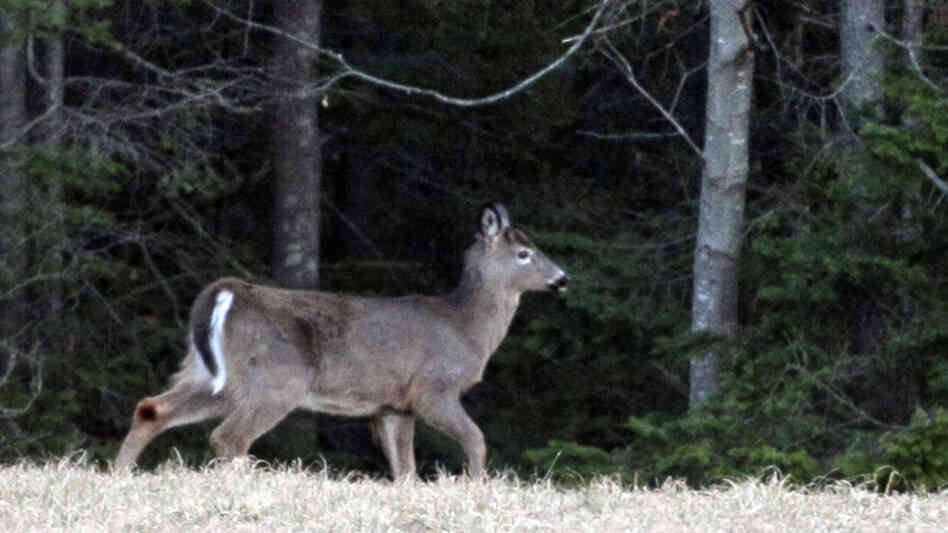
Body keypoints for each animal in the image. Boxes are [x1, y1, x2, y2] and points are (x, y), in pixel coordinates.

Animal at [114, 203, 568, 479]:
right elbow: (475, 438)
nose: (562, 278)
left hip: (210, 375)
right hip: (278, 379)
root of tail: (226, 292)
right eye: (524, 254)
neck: (466, 328)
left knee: (151, 408)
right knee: (229, 436)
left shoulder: (392, 406)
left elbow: (406, 470)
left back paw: (120, 473)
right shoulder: (432, 388)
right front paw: (477, 483)